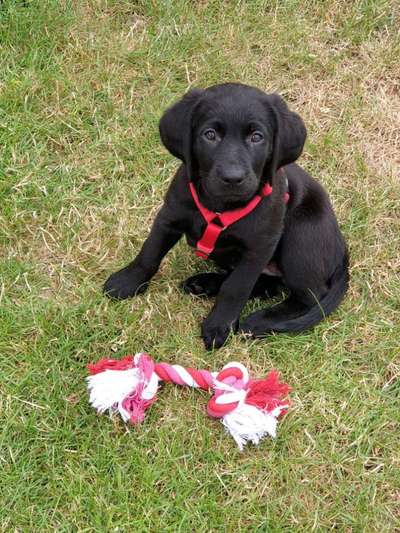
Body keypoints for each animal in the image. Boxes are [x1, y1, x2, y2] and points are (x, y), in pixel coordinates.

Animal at [103, 83, 346, 350]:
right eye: (210, 135)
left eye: (257, 137)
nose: (232, 178)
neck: (220, 206)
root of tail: (342, 252)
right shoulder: (169, 217)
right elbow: (150, 252)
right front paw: (127, 281)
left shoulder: (259, 247)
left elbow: (236, 287)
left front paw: (219, 325)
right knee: (269, 285)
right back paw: (205, 283)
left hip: (301, 236)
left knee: (309, 297)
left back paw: (260, 320)